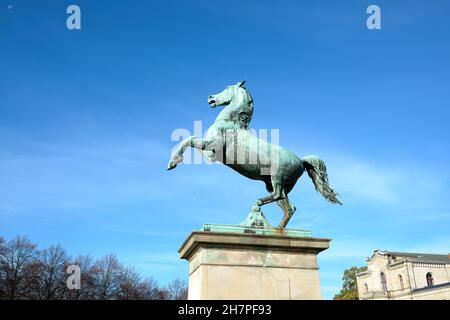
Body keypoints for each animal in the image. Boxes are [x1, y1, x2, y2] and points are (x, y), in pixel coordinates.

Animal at [166, 81, 342, 229]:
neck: (231, 122)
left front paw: (173, 162)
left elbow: (189, 139)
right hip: (279, 185)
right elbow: (191, 140)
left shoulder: (211, 145)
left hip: (277, 178)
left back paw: (258, 205)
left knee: (277, 196)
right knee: (288, 207)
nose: (211, 98)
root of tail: (300, 160)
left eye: (227, 88)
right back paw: (277, 230)